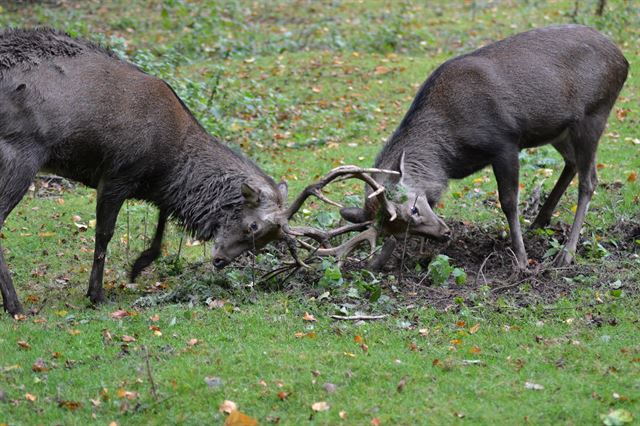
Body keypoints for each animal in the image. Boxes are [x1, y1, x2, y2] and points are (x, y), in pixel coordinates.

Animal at [0, 26, 400, 312]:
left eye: (262, 243)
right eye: (253, 227)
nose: (220, 261)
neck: (169, 161)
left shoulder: (154, 187)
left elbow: (161, 224)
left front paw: (138, 265)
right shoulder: (116, 174)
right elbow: (104, 236)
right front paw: (96, 294)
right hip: (20, 151)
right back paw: (16, 306)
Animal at [328, 25, 628, 270]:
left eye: (413, 209)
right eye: (402, 231)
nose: (444, 233)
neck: (451, 152)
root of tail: (623, 59)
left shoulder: (505, 142)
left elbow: (508, 201)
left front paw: (521, 260)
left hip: (594, 113)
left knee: (589, 180)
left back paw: (566, 254)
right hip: (559, 130)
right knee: (573, 163)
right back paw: (540, 221)